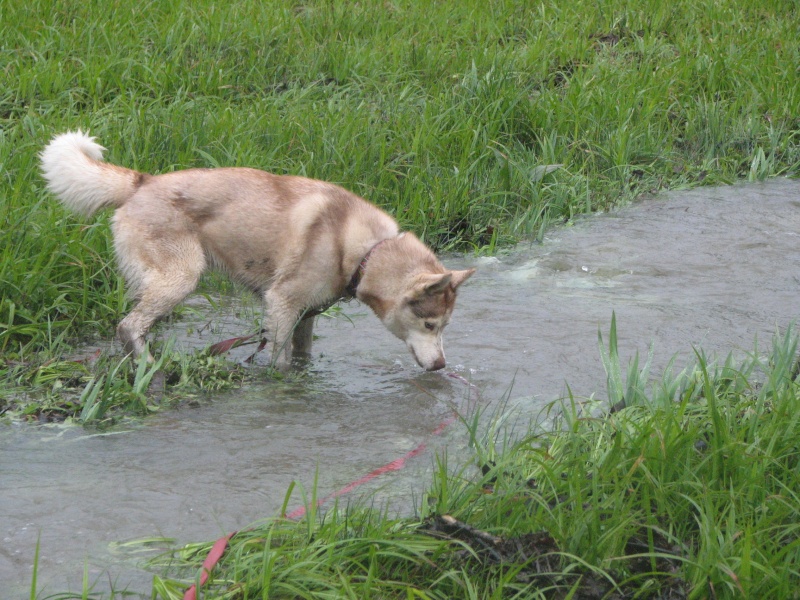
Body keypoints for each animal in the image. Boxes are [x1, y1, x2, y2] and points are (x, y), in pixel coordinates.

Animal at [39, 131, 476, 370]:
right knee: (128, 326)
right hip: (180, 278)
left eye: (445, 326)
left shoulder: (305, 315)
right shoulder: (281, 305)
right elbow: (279, 362)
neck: (363, 251)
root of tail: (142, 182)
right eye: (430, 325)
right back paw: (149, 369)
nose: (440, 366)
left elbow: (302, 356)